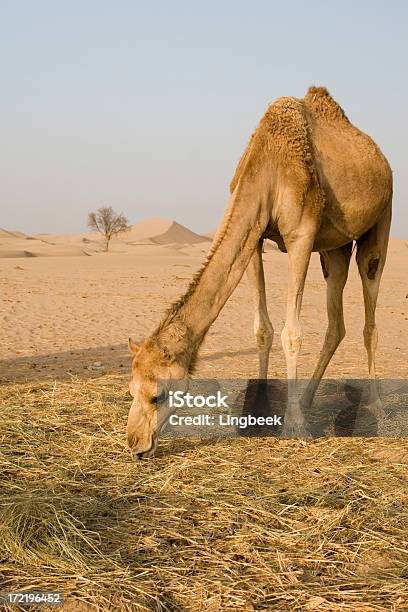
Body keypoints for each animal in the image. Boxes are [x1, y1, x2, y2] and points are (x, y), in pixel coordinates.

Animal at [126, 87, 392, 460]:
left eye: (157, 395)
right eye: (130, 389)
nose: (135, 445)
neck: (267, 163)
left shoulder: (301, 234)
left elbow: (291, 333)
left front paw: (295, 427)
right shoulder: (255, 237)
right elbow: (262, 329)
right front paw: (258, 412)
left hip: (382, 219)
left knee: (370, 316)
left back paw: (377, 408)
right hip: (334, 248)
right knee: (336, 320)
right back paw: (307, 399)